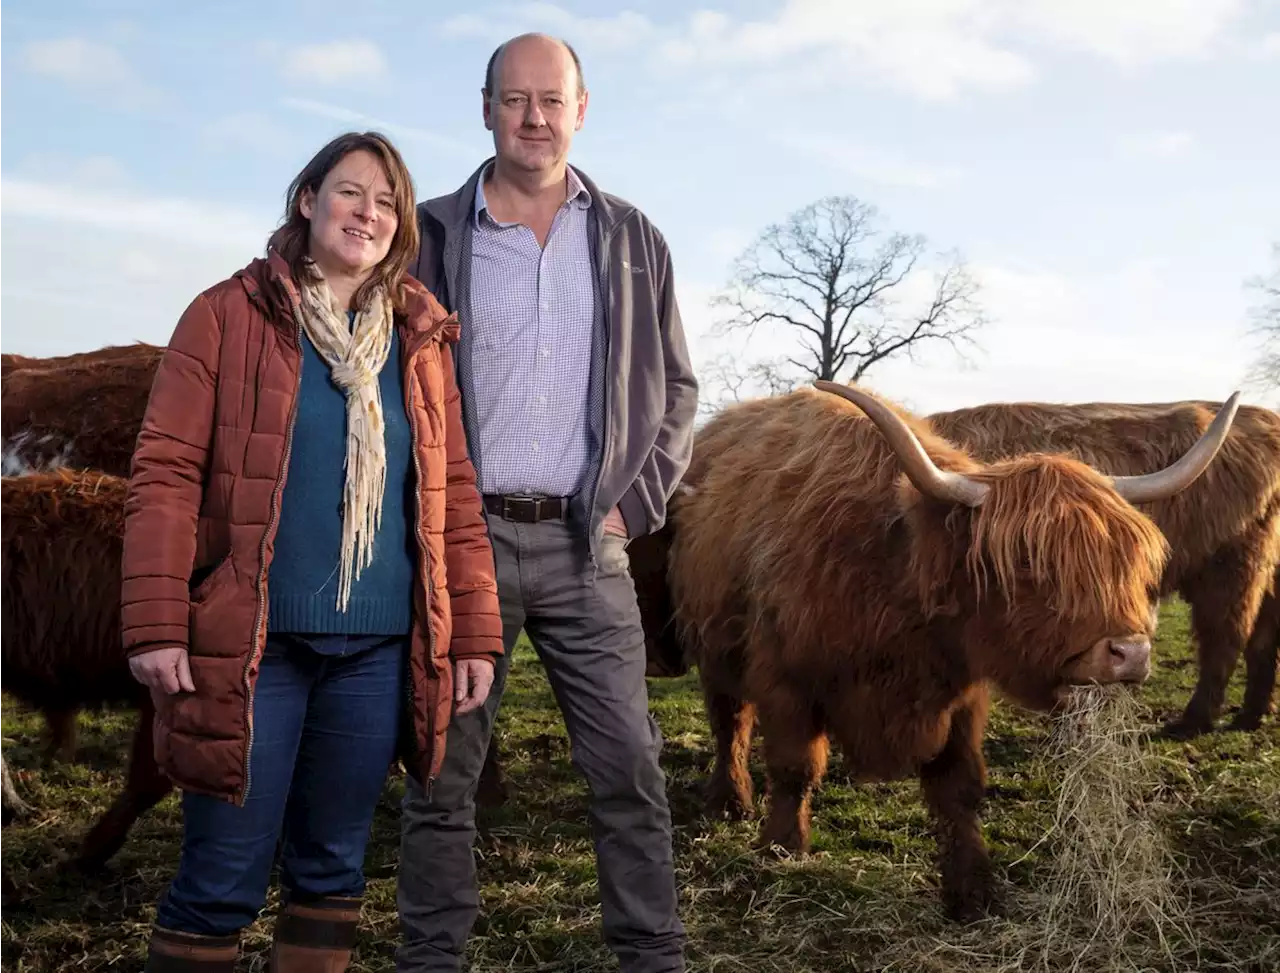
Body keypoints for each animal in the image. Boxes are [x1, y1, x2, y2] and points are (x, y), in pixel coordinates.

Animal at [670, 378, 1239, 921]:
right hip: (714, 649)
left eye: (1124, 560)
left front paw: (973, 889)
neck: (891, 571)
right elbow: (795, 768)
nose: (1130, 653)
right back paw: (730, 799)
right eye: (1028, 561)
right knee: (729, 722)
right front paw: (783, 849)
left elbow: (960, 786)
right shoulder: (785, 679)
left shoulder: (961, 692)